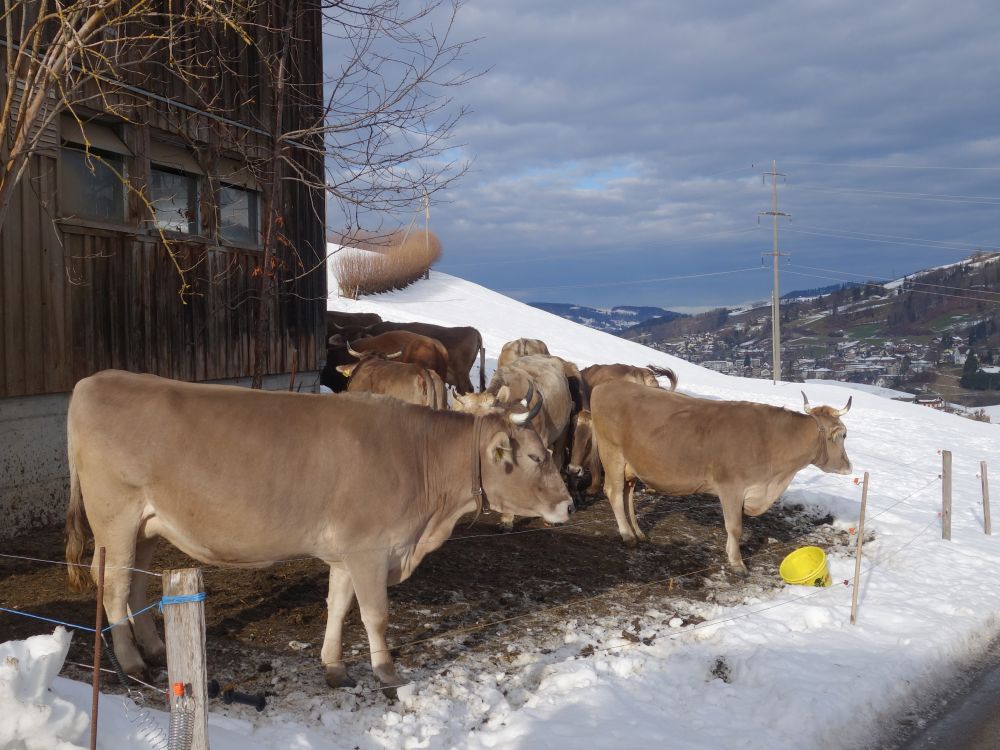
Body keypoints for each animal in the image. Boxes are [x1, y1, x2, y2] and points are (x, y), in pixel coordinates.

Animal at [66, 372, 576, 692]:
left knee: (135, 583)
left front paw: (334, 666)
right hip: (115, 518)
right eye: (536, 457)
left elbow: (338, 605)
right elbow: (375, 614)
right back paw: (133, 663)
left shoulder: (348, 551)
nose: (568, 504)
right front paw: (386, 672)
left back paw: (154, 649)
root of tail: (96, 380)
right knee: (113, 586)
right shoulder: (371, 549)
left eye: (548, 451)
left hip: (147, 526)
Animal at [588, 384, 856, 572]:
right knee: (614, 492)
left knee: (627, 494)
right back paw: (627, 536)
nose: (849, 467)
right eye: (843, 434)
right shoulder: (731, 487)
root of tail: (606, 386)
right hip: (612, 454)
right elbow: (735, 527)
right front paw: (737, 563)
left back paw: (638, 532)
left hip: (631, 465)